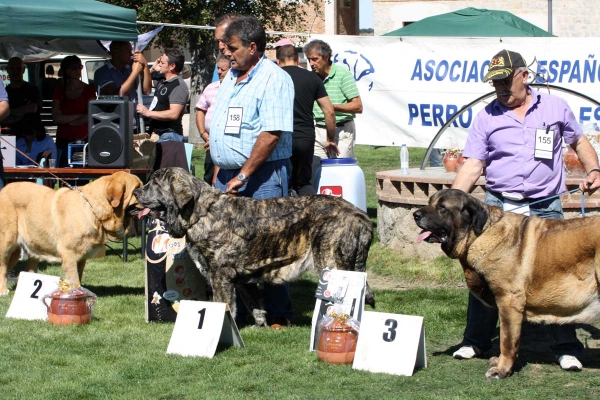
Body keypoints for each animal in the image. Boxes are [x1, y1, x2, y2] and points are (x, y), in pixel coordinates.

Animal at [0, 172, 142, 294]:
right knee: (3, 267)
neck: (93, 209)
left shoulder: (81, 257)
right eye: (137, 189)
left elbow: (79, 276)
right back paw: (3, 291)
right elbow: (74, 279)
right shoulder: (69, 254)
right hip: (7, 244)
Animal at [134, 167, 372, 326]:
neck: (201, 213)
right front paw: (260, 325)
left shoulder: (220, 275)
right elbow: (254, 305)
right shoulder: (241, 278)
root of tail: (360, 216)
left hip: (332, 264)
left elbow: (224, 305)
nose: (136, 191)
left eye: (155, 184)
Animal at [414, 189, 600, 380]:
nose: (415, 214)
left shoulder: (508, 301)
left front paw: (501, 370)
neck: (480, 234)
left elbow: (507, 340)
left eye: (442, 208)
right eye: (430, 202)